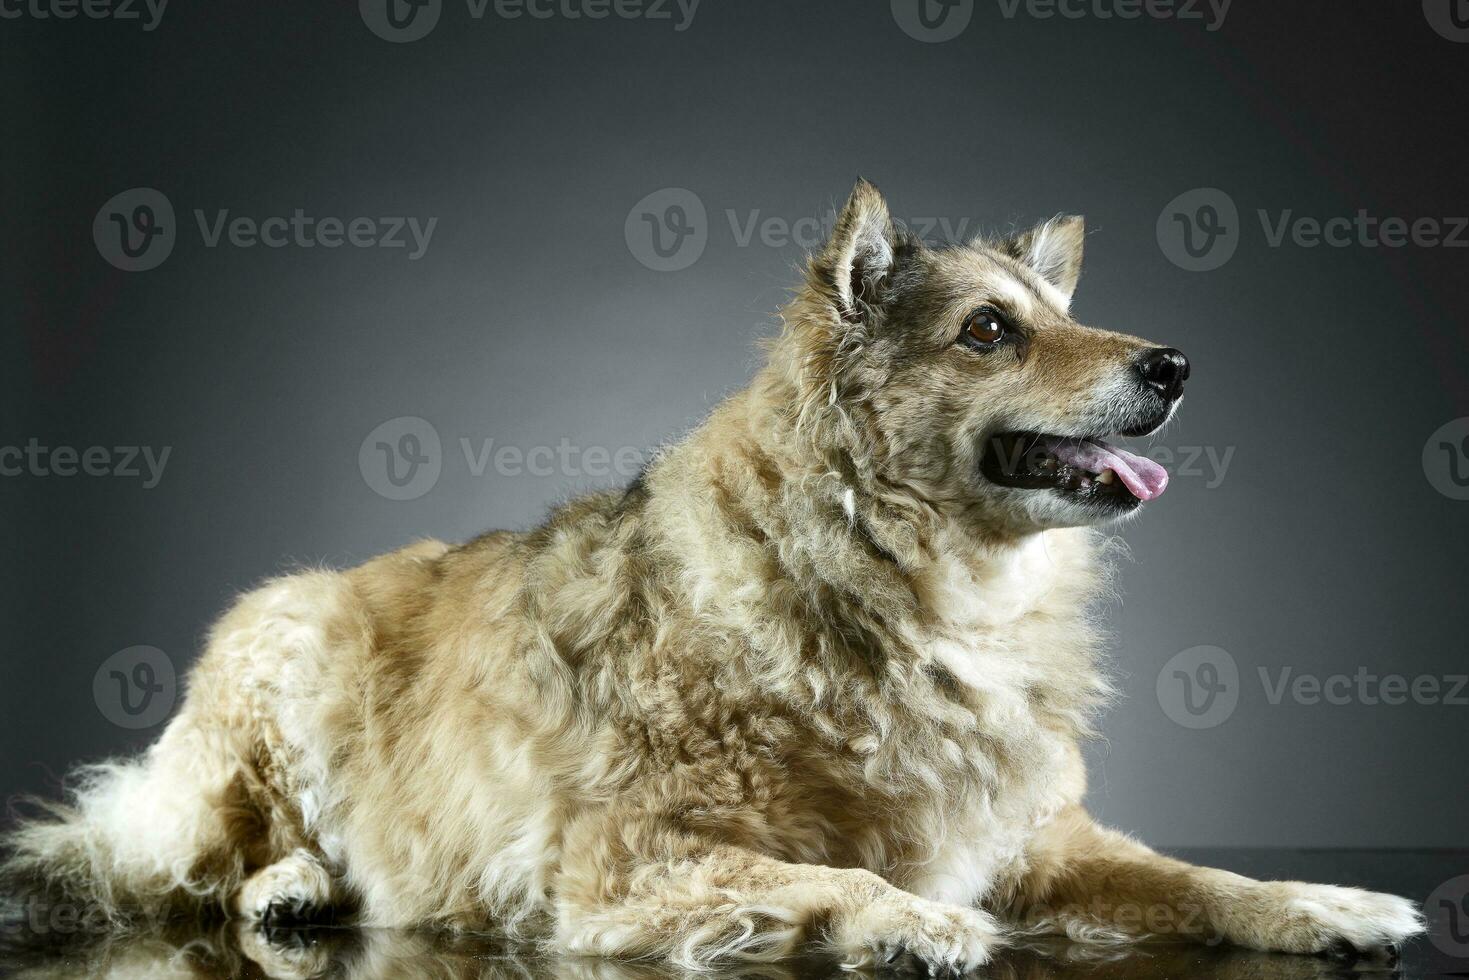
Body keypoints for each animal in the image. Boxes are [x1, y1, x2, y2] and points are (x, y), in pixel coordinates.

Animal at [2, 182, 1421, 975]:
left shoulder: (1033, 837)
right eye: (988, 330)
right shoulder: (625, 861)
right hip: (280, 655)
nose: (1173, 366)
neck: (906, 582)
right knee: (205, 854)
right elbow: (845, 877)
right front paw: (912, 923)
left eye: (1060, 312)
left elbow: (1202, 880)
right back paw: (292, 884)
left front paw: (1320, 898)